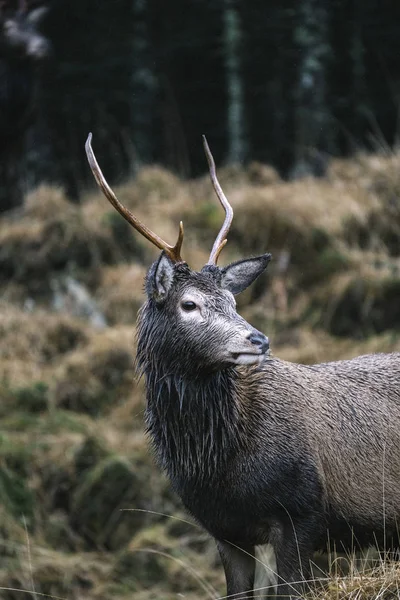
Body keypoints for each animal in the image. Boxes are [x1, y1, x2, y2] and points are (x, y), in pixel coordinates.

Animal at [86, 134, 400, 596]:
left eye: (233, 300)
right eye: (189, 304)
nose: (259, 339)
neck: (219, 467)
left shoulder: (301, 513)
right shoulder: (224, 530)